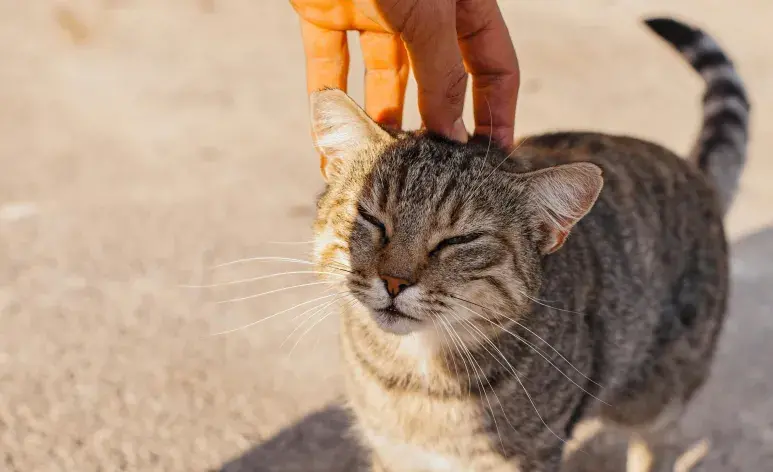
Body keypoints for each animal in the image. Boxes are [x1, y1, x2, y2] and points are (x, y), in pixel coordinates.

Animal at [306, 16, 748, 472]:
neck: (420, 376)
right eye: (371, 217)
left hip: (656, 401)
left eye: (459, 239)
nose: (393, 281)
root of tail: (695, 172)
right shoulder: (390, 452)